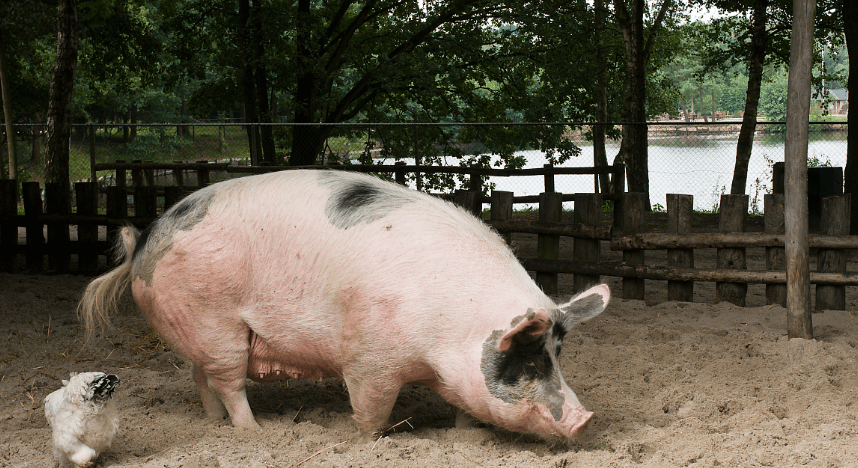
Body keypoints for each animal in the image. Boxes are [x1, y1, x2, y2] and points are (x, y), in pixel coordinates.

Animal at [77, 169, 604, 442]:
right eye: (528, 361)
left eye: (556, 356)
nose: (586, 420)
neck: (451, 330)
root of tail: (144, 238)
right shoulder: (369, 358)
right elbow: (371, 409)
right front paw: (371, 442)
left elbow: (463, 406)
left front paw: (467, 437)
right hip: (216, 324)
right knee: (228, 383)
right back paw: (254, 432)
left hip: (199, 331)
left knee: (200, 377)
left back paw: (215, 425)